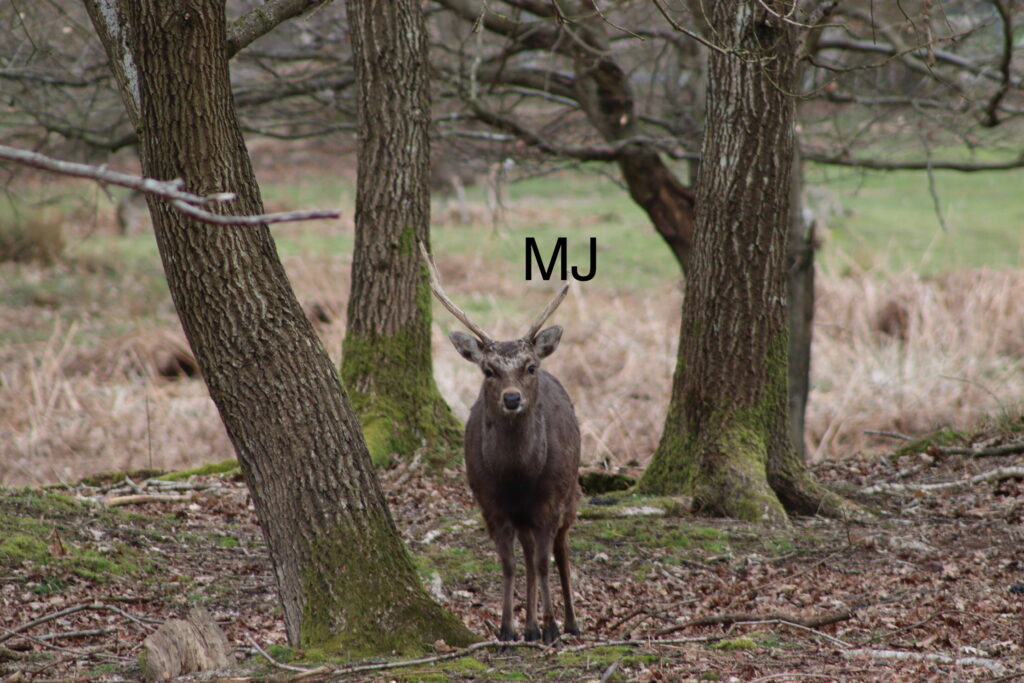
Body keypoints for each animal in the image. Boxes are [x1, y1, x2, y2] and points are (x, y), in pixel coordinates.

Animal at [420, 243, 581, 645]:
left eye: (529, 367)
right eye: (488, 370)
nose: (511, 398)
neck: (518, 476)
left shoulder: (549, 500)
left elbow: (544, 563)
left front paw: (552, 627)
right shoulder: (490, 503)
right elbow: (509, 564)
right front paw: (509, 629)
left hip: (572, 491)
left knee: (561, 550)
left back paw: (570, 623)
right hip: (522, 515)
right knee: (528, 553)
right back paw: (530, 628)